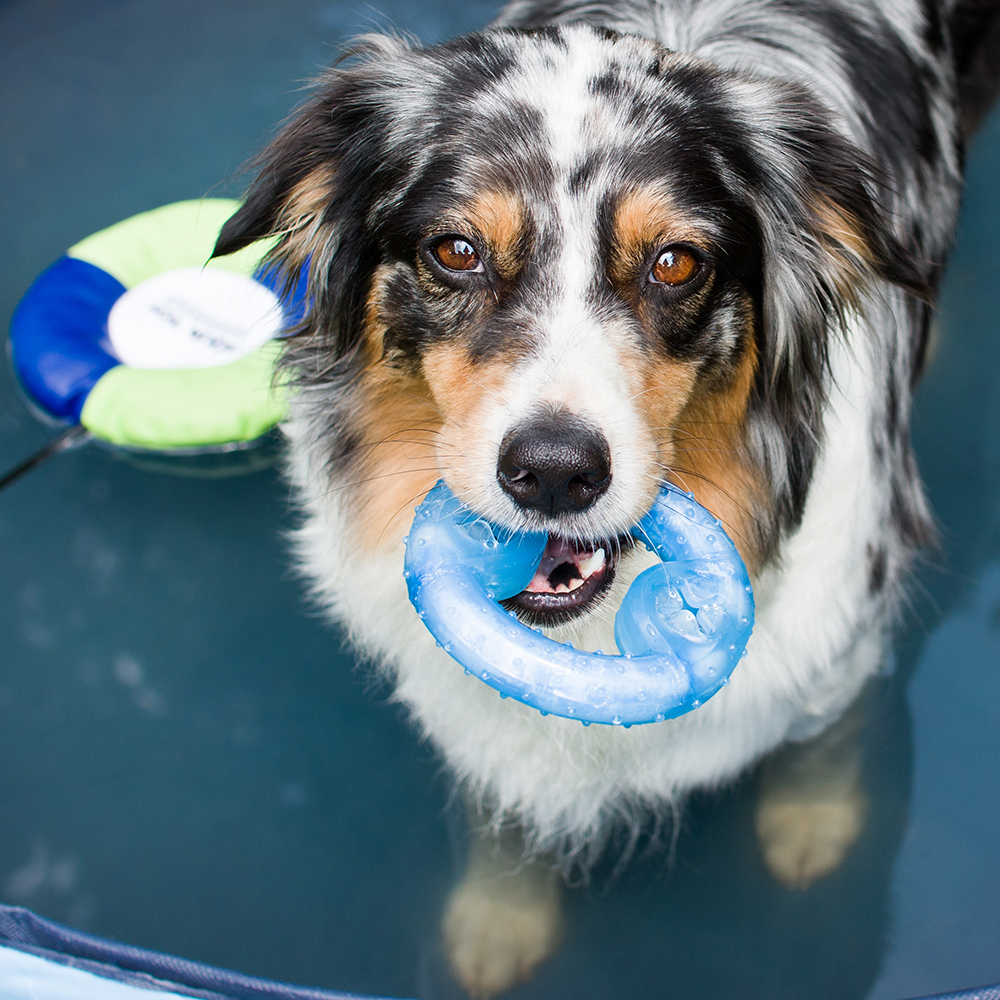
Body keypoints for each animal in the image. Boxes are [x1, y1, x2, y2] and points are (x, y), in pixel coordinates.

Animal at [215, 1, 1000, 992]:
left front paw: (812, 824)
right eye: (455, 251)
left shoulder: (846, 619)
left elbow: (825, 734)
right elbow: (504, 803)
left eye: (675, 263)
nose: (553, 470)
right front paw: (499, 918)